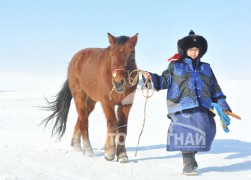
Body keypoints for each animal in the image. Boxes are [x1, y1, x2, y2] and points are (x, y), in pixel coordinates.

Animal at [42, 32, 138, 163]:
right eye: (112, 54)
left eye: (131, 54)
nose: (119, 82)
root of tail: (74, 59)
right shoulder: (107, 103)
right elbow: (112, 123)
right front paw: (109, 153)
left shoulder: (126, 104)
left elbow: (123, 126)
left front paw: (122, 155)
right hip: (79, 97)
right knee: (84, 121)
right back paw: (88, 151)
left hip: (91, 101)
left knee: (81, 118)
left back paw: (76, 145)